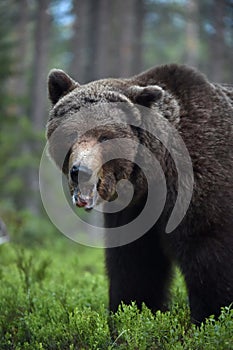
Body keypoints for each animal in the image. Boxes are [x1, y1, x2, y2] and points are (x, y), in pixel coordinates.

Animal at [46, 64, 232, 324]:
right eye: (70, 133)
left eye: (105, 136)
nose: (80, 171)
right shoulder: (134, 211)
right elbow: (135, 268)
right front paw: (132, 314)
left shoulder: (201, 187)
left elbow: (209, 261)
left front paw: (211, 318)